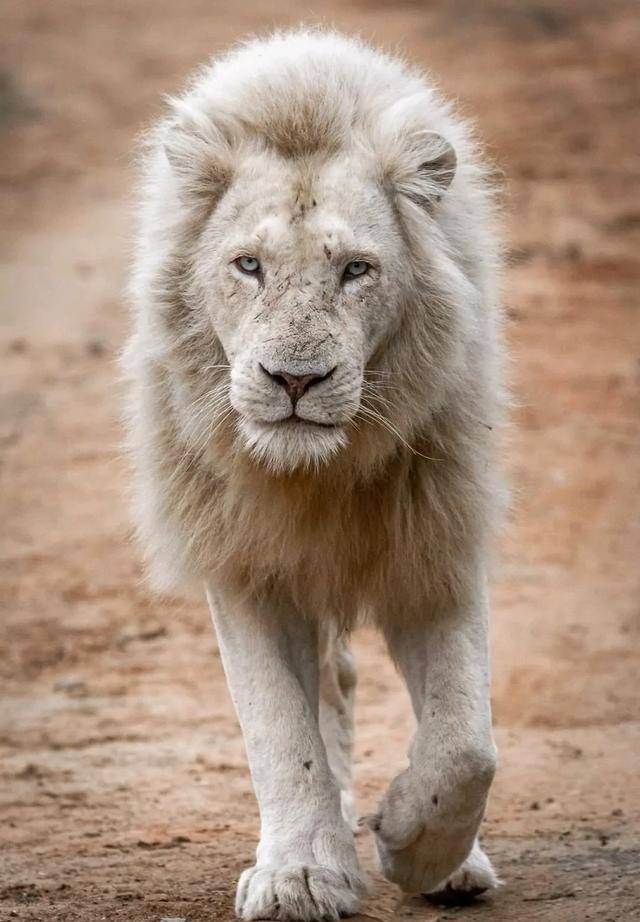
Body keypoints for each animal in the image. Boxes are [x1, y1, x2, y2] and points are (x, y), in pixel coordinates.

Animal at [124, 28, 504, 920]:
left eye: (356, 269)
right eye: (249, 266)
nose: (294, 380)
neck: (314, 477)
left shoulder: (437, 541)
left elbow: (465, 742)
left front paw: (412, 843)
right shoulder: (242, 561)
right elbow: (280, 729)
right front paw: (299, 875)